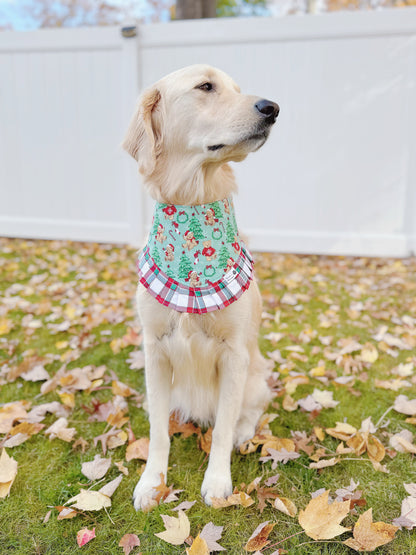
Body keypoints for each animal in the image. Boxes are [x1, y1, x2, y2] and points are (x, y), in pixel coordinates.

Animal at [123, 63, 280, 510]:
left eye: (238, 89)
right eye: (205, 86)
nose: (272, 108)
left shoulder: (234, 355)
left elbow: (223, 428)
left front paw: (217, 481)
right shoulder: (155, 350)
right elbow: (158, 432)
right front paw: (151, 482)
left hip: (257, 375)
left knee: (250, 412)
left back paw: (245, 432)